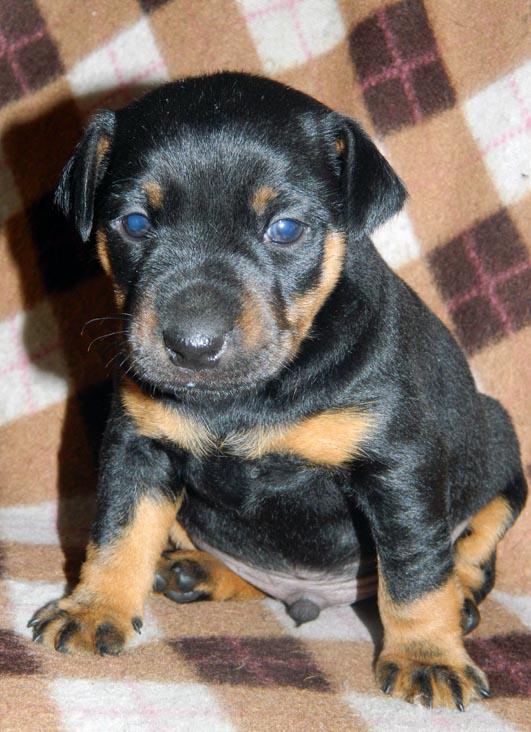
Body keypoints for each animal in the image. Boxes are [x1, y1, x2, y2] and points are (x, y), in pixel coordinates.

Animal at [29, 72, 526, 710]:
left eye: (285, 229)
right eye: (135, 223)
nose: (193, 345)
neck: (253, 393)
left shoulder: (399, 466)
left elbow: (416, 570)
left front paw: (427, 657)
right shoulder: (139, 444)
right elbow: (119, 530)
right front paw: (94, 610)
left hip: (500, 450)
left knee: (471, 557)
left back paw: (460, 607)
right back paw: (198, 572)